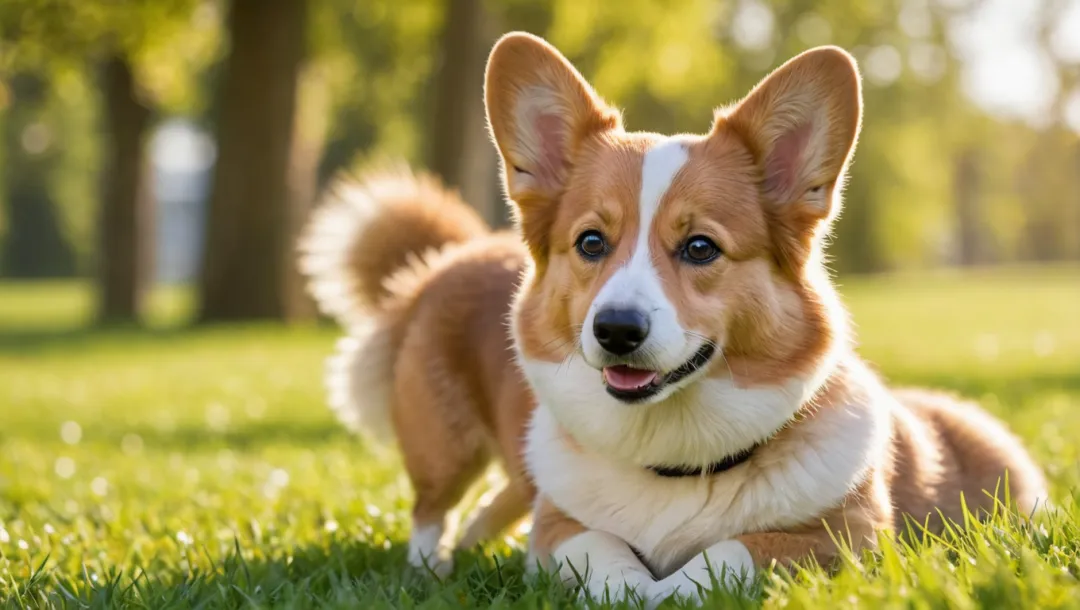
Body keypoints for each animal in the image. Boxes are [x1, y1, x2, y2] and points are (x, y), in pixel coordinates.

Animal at [481, 33, 1045, 604]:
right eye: (591, 242)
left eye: (700, 247)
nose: (616, 329)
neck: (674, 460)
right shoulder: (555, 529)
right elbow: (601, 547)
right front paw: (632, 589)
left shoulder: (848, 539)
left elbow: (732, 550)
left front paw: (670, 591)